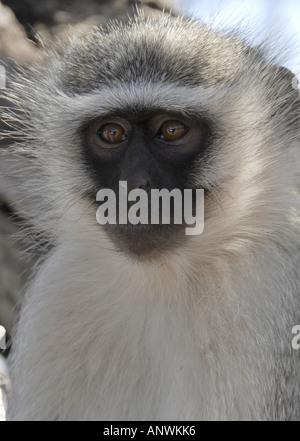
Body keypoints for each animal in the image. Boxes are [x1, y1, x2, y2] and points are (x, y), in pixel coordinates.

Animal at [1, 12, 300, 420]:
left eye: (172, 129)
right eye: (112, 133)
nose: (136, 185)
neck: (165, 277)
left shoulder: (273, 279)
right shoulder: (62, 291)